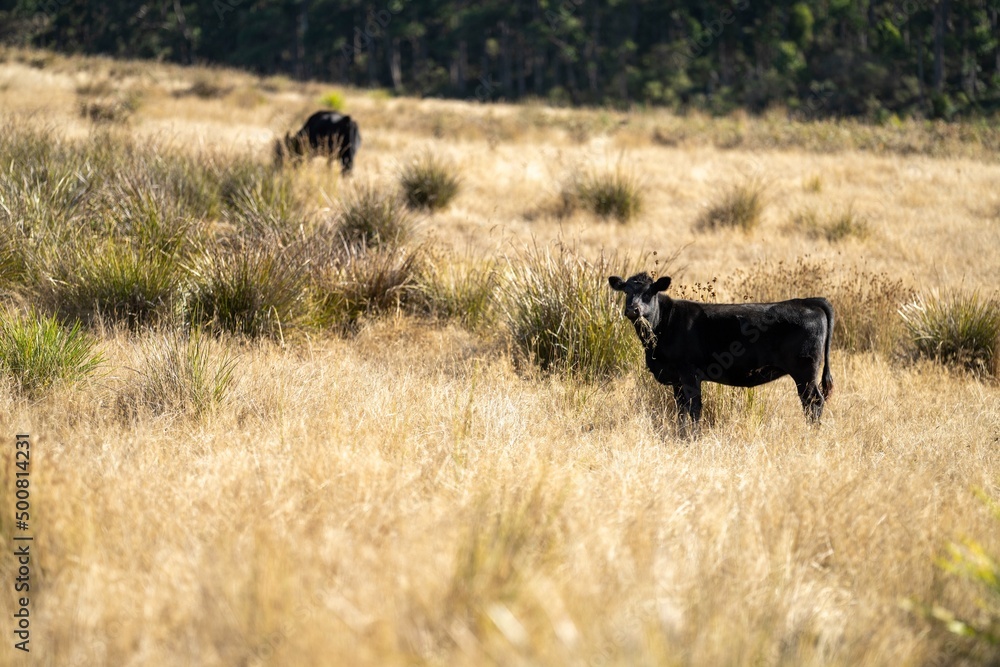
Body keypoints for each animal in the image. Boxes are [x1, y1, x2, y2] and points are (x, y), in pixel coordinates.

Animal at [608, 272, 834, 434]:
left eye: (649, 292)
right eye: (626, 291)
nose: (633, 310)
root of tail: (808, 301)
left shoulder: (689, 373)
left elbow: (694, 408)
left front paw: (694, 438)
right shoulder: (677, 380)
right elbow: (680, 410)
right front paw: (681, 435)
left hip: (805, 372)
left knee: (813, 401)